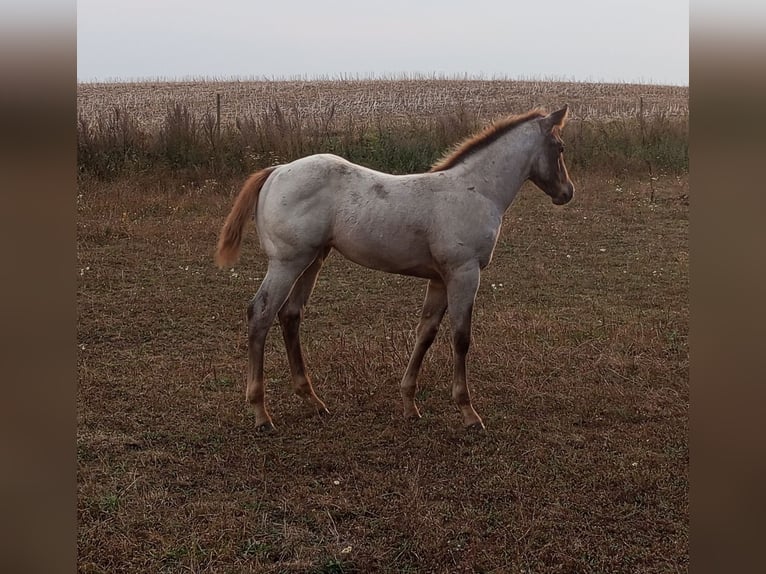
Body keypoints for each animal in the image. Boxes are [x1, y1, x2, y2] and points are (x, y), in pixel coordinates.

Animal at [216, 106, 576, 434]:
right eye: (559, 147)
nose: (567, 193)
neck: (476, 190)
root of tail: (276, 170)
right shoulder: (464, 272)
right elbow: (461, 337)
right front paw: (468, 412)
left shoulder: (440, 278)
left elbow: (426, 333)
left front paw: (409, 404)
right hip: (287, 262)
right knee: (260, 314)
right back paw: (262, 414)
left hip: (313, 259)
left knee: (290, 315)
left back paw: (314, 401)